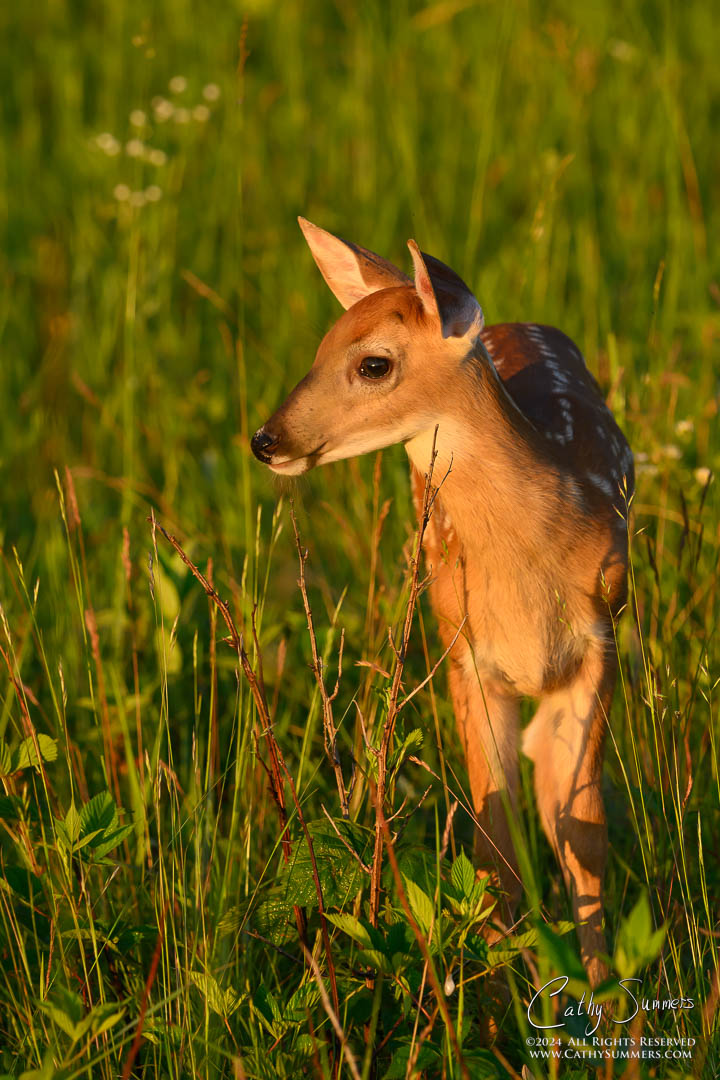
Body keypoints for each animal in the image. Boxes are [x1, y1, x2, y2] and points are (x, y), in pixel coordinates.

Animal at [250, 217, 634, 986]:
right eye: (320, 345)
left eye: (372, 363)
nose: (265, 439)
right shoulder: (468, 656)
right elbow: (495, 851)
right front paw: (506, 992)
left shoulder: (601, 639)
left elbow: (582, 836)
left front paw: (602, 997)